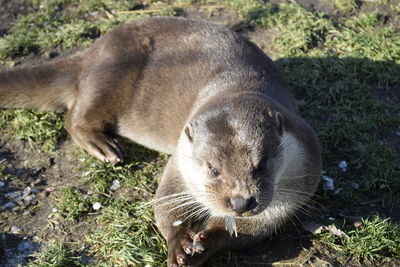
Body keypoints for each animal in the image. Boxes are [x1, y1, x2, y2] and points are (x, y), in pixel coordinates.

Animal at [0, 17, 318, 267]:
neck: (235, 88)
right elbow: (167, 206)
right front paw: (179, 245)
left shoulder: (295, 188)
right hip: (109, 77)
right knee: (75, 116)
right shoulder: (180, 164)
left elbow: (251, 228)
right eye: (213, 170)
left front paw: (204, 243)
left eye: (262, 165)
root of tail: (94, 50)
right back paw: (105, 147)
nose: (240, 201)